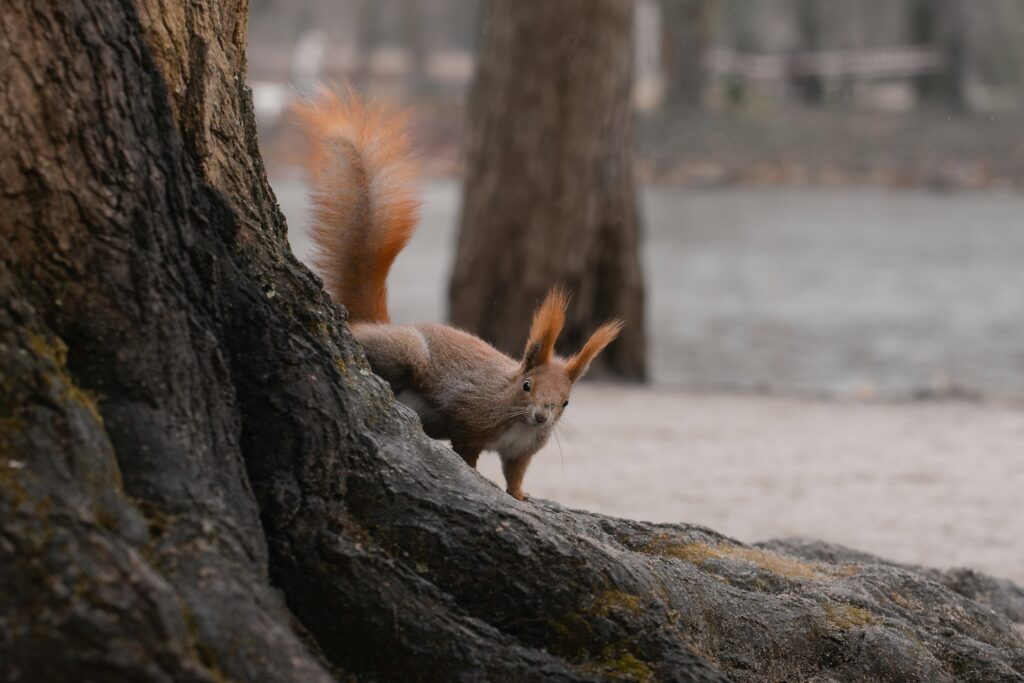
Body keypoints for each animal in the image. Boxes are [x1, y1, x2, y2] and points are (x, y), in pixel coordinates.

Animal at [290, 89, 622, 501]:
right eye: (527, 386)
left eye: (566, 402)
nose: (542, 416)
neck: (515, 414)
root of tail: (376, 322)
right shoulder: (470, 419)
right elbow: (467, 454)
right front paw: (477, 479)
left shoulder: (522, 451)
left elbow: (515, 473)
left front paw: (519, 496)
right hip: (405, 352)